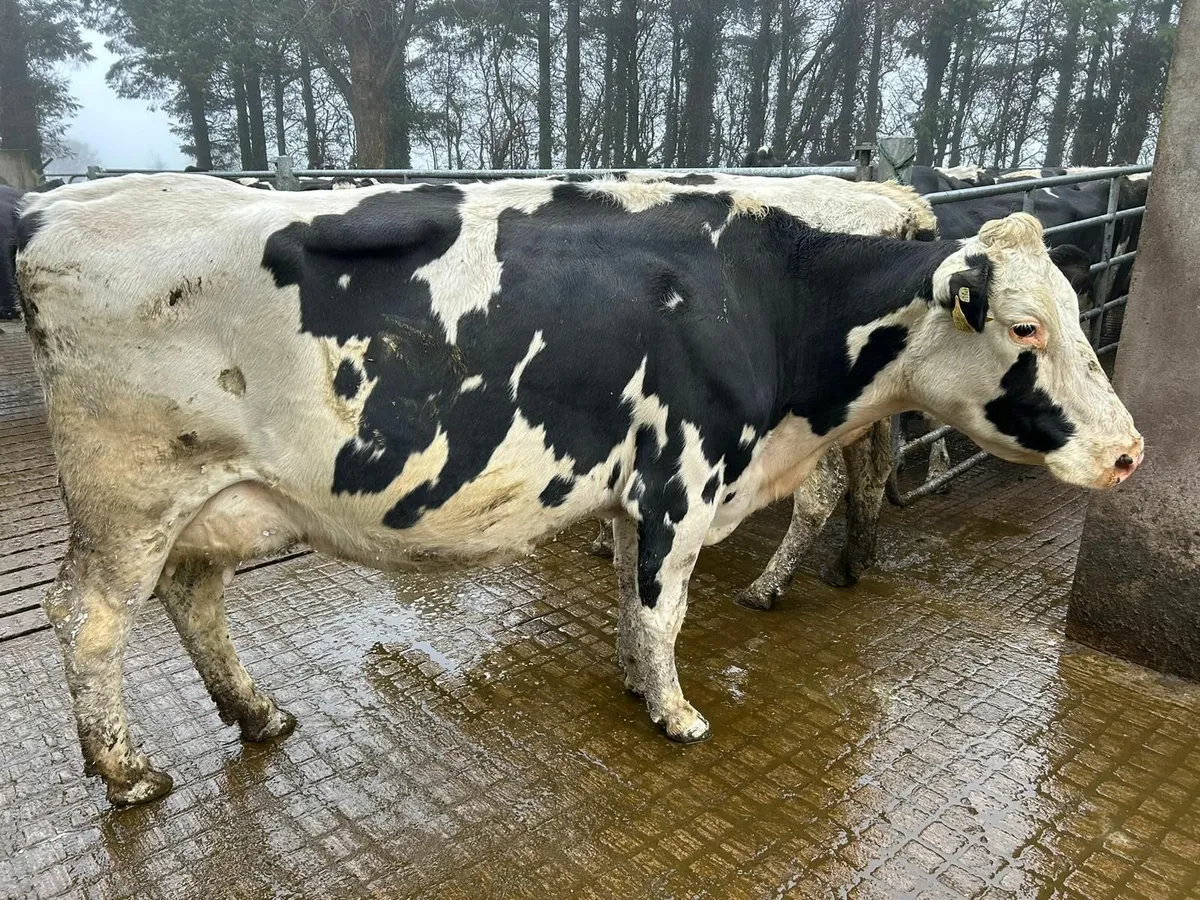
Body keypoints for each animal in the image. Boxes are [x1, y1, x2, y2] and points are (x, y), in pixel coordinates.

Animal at [15, 174, 1141, 806]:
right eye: (1025, 328)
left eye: (1076, 312)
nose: (1130, 452)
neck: (763, 297)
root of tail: (59, 203)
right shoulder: (684, 475)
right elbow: (663, 608)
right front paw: (676, 715)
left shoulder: (648, 493)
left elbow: (631, 603)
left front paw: (638, 686)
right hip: (128, 498)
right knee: (88, 622)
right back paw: (125, 775)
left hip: (209, 501)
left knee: (193, 598)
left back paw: (256, 716)